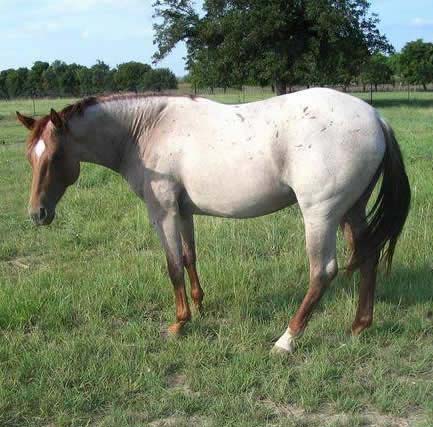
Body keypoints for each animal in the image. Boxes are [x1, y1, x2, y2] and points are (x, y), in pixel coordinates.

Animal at [16, 88, 408, 354]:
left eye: (55, 156)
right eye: (30, 156)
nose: (37, 214)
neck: (147, 129)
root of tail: (376, 117)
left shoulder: (163, 212)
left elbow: (172, 265)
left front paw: (179, 323)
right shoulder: (184, 212)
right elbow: (189, 258)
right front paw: (200, 305)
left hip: (320, 215)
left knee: (322, 272)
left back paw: (286, 340)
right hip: (351, 210)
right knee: (368, 256)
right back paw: (359, 326)